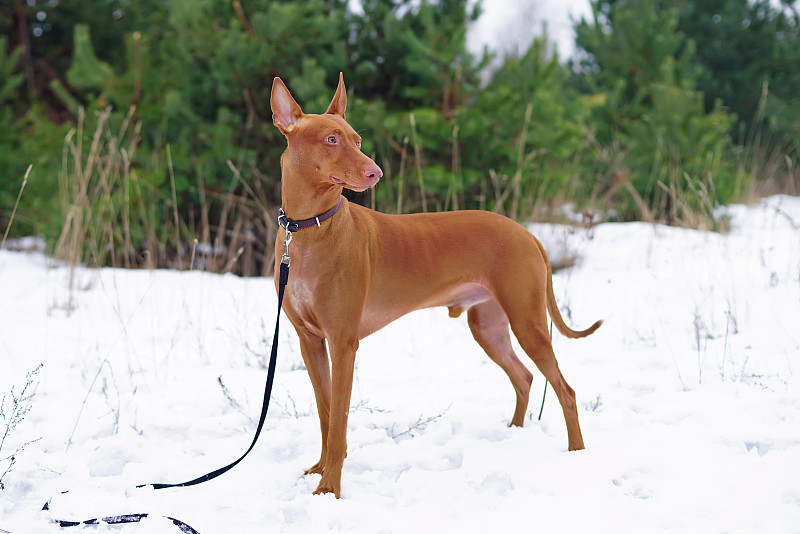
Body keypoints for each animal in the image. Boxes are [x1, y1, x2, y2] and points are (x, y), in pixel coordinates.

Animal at [270, 74, 600, 498]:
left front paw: (329, 490)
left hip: (528, 323)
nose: (375, 172)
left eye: (357, 140)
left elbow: (340, 423)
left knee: (565, 389)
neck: (308, 229)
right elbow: (326, 414)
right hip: (488, 327)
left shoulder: (343, 344)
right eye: (331, 139)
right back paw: (514, 433)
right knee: (524, 377)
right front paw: (319, 471)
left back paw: (576, 453)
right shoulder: (310, 341)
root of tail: (526, 232)